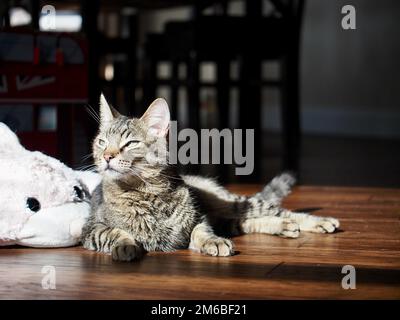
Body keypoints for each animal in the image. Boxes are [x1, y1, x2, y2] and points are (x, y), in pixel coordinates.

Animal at [82, 94, 340, 262]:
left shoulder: (199, 219)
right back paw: (284, 227)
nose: (106, 156)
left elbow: (202, 232)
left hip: (232, 204)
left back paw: (317, 221)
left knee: (275, 211)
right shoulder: (91, 229)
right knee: (245, 222)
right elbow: (113, 232)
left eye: (130, 143)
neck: (147, 192)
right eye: (101, 141)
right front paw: (126, 245)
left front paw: (213, 242)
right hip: (227, 217)